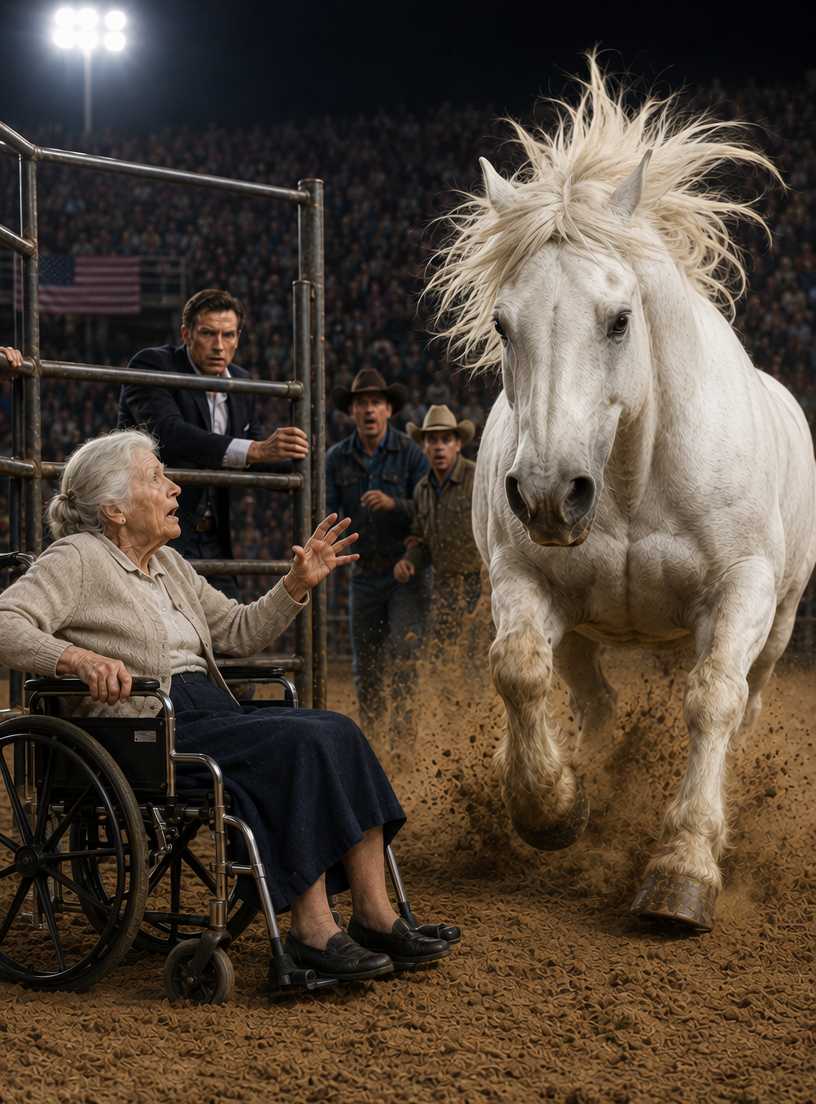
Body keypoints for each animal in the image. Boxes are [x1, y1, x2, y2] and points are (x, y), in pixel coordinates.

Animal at [428, 57, 816, 931]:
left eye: (618, 318)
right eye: (501, 324)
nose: (547, 494)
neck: (636, 477)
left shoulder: (741, 591)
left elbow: (713, 700)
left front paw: (684, 868)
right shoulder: (525, 577)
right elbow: (519, 670)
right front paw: (551, 806)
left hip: (779, 624)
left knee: (744, 701)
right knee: (592, 699)